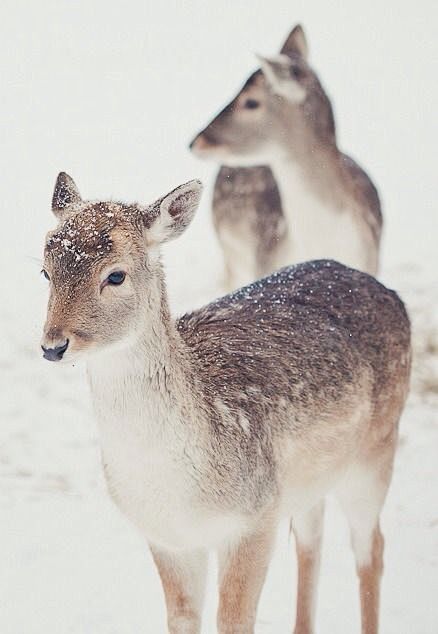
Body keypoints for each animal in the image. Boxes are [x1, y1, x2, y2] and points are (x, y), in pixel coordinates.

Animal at [41, 170, 410, 628]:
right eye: (45, 271)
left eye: (116, 275)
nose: (53, 346)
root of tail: (388, 292)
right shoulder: (168, 538)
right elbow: (182, 617)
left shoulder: (254, 519)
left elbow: (233, 619)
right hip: (312, 476)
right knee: (311, 536)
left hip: (376, 452)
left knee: (370, 547)